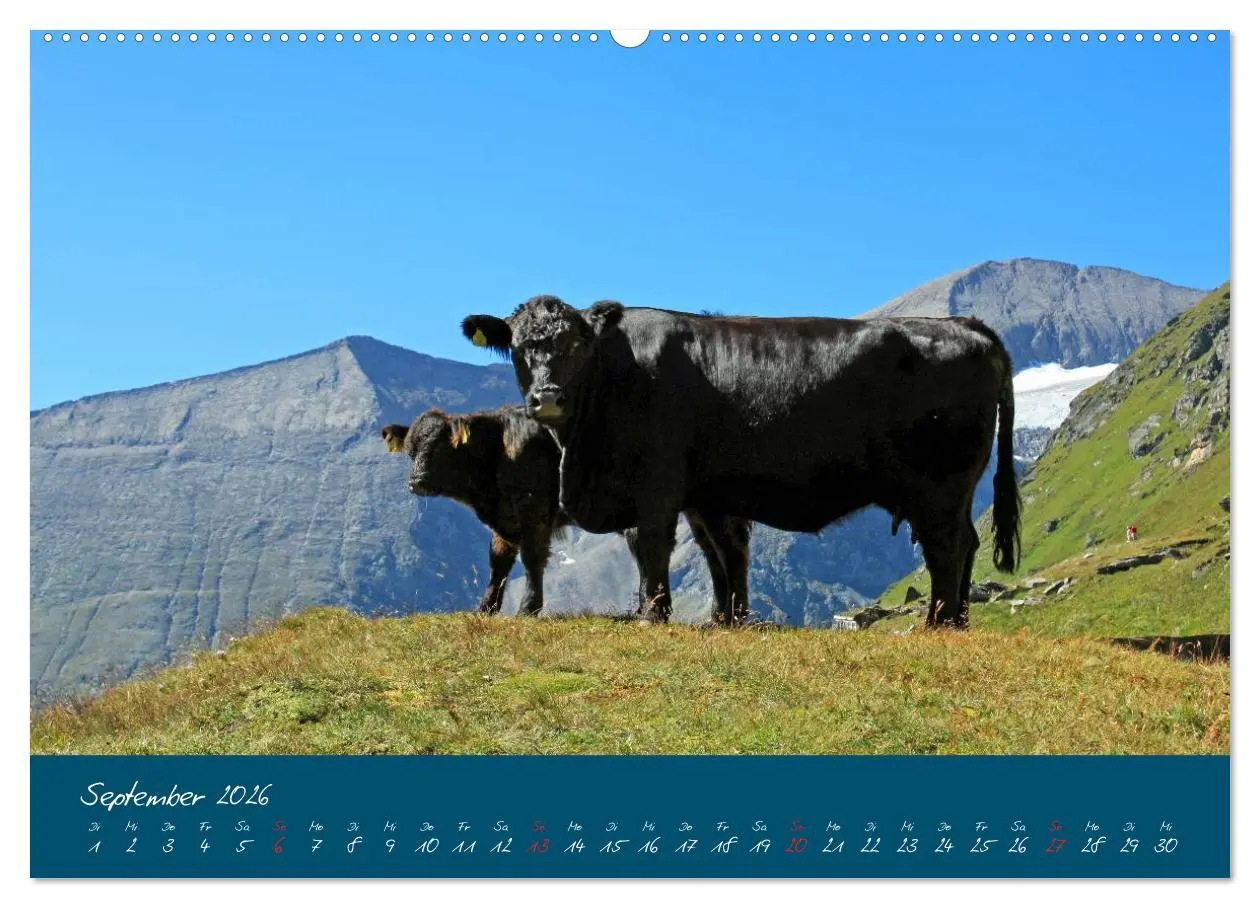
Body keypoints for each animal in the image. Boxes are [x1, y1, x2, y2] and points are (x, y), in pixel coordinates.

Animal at [382, 406, 753, 622]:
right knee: (712, 555)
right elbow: (498, 562)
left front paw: (528, 608)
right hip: (695, 510)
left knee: (730, 552)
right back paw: (717, 616)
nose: (416, 482)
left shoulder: (534, 512)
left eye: (439, 449)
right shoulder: (506, 518)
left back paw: (733, 616)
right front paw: (486, 608)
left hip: (713, 509)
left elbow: (532, 559)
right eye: (411, 450)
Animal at [460, 295, 1021, 629]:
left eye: (576, 345)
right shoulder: (704, 497)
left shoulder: (659, 484)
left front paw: (653, 614)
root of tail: (969, 327)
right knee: (966, 544)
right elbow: (720, 557)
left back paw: (937, 622)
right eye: (520, 349)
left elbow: (655, 547)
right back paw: (957, 620)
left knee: (947, 548)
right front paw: (721, 619)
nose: (547, 398)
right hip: (951, 491)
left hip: (940, 487)